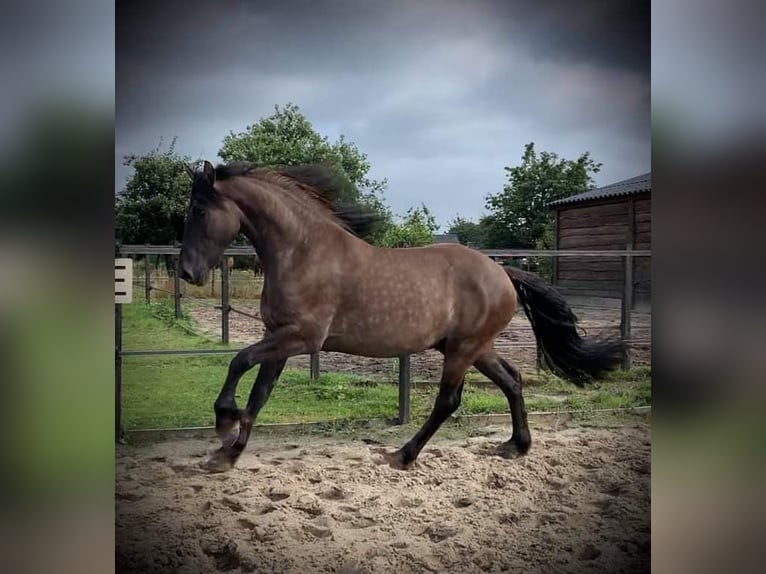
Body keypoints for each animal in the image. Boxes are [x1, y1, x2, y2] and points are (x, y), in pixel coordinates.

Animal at [180, 161, 624, 472]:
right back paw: (517, 446)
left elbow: (239, 360)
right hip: (473, 347)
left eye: (199, 209)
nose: (186, 272)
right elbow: (259, 394)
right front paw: (228, 454)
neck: (303, 251)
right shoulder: (279, 337)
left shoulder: (302, 337)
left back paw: (405, 454)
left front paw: (223, 420)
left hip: (462, 349)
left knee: (449, 400)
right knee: (512, 381)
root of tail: (503, 273)